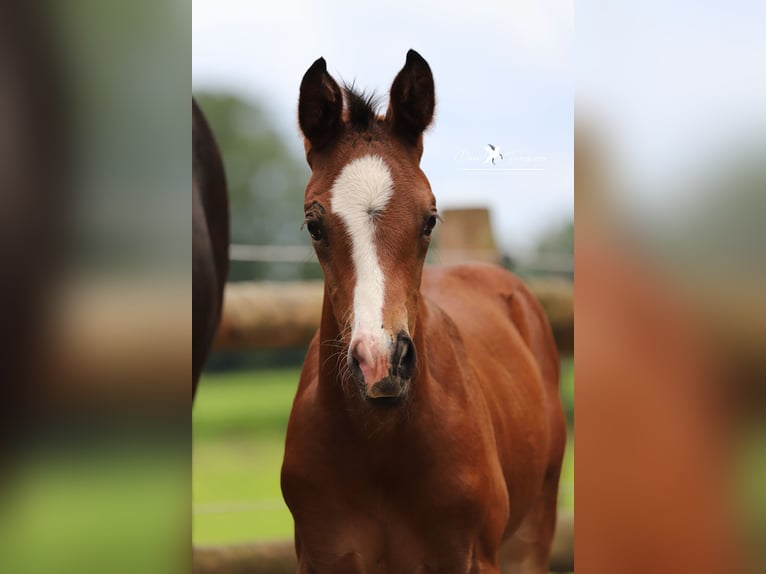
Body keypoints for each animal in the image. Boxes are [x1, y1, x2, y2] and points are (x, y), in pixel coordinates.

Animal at [284, 50, 568, 574]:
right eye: (314, 225)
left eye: (430, 218)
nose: (381, 363)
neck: (380, 444)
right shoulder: (321, 557)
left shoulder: (471, 558)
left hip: (533, 534)